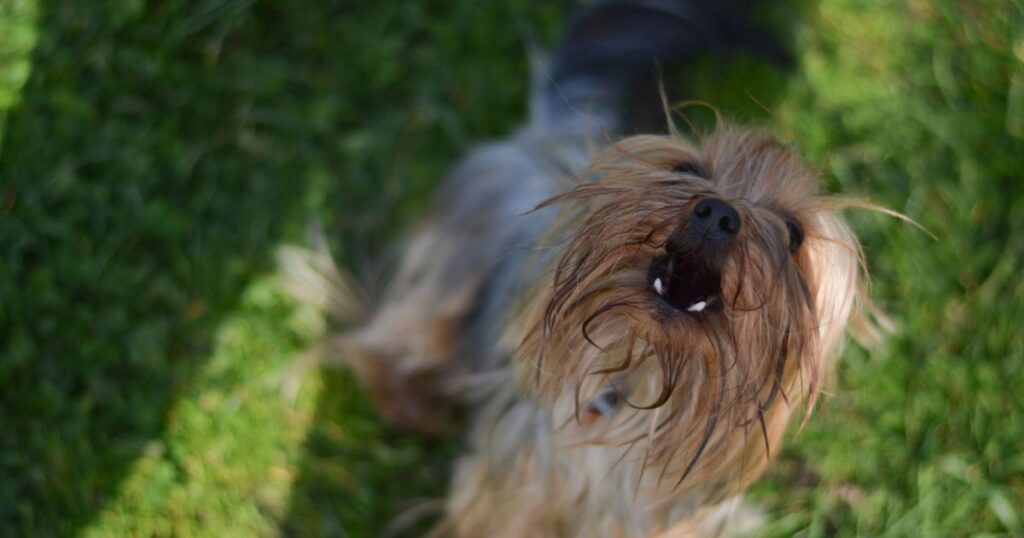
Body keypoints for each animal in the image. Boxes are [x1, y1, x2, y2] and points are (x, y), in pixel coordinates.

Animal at [284, 2, 884, 532]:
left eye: (793, 232)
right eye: (687, 170)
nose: (716, 214)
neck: (644, 378)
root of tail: (553, 133)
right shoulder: (512, 490)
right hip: (447, 274)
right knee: (383, 339)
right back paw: (413, 402)